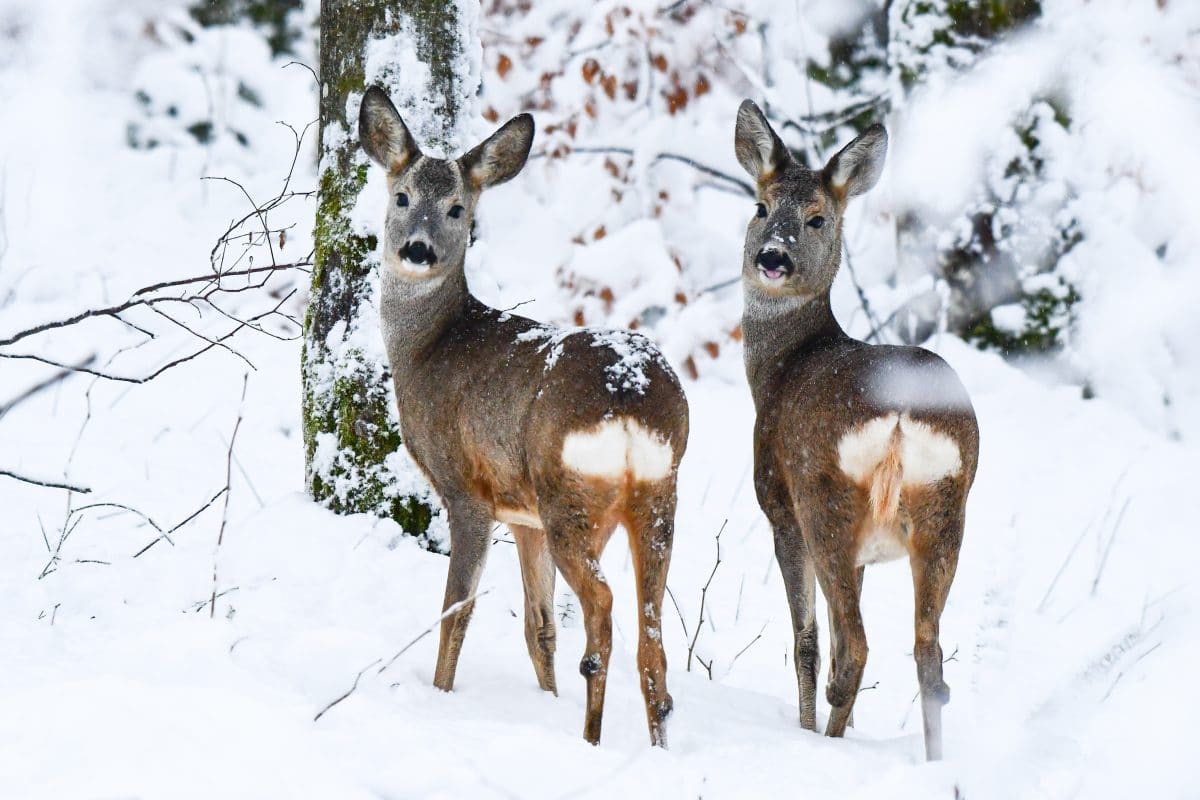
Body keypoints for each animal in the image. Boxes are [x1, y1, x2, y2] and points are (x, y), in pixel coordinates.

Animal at [360, 84, 691, 748]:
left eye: (457, 208)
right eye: (402, 197)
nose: (417, 249)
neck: (428, 346)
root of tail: (630, 392)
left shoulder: (468, 488)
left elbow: (457, 609)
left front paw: (441, 694)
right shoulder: (522, 515)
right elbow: (539, 627)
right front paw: (545, 699)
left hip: (569, 494)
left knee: (604, 606)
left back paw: (591, 736)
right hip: (657, 495)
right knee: (652, 635)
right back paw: (655, 744)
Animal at [729, 101, 974, 762]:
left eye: (817, 218)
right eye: (760, 207)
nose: (772, 257)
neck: (780, 367)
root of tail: (901, 414)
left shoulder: (777, 506)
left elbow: (809, 641)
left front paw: (808, 727)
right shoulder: (868, 550)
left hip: (824, 499)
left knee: (855, 650)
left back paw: (828, 741)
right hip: (945, 510)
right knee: (927, 655)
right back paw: (932, 762)